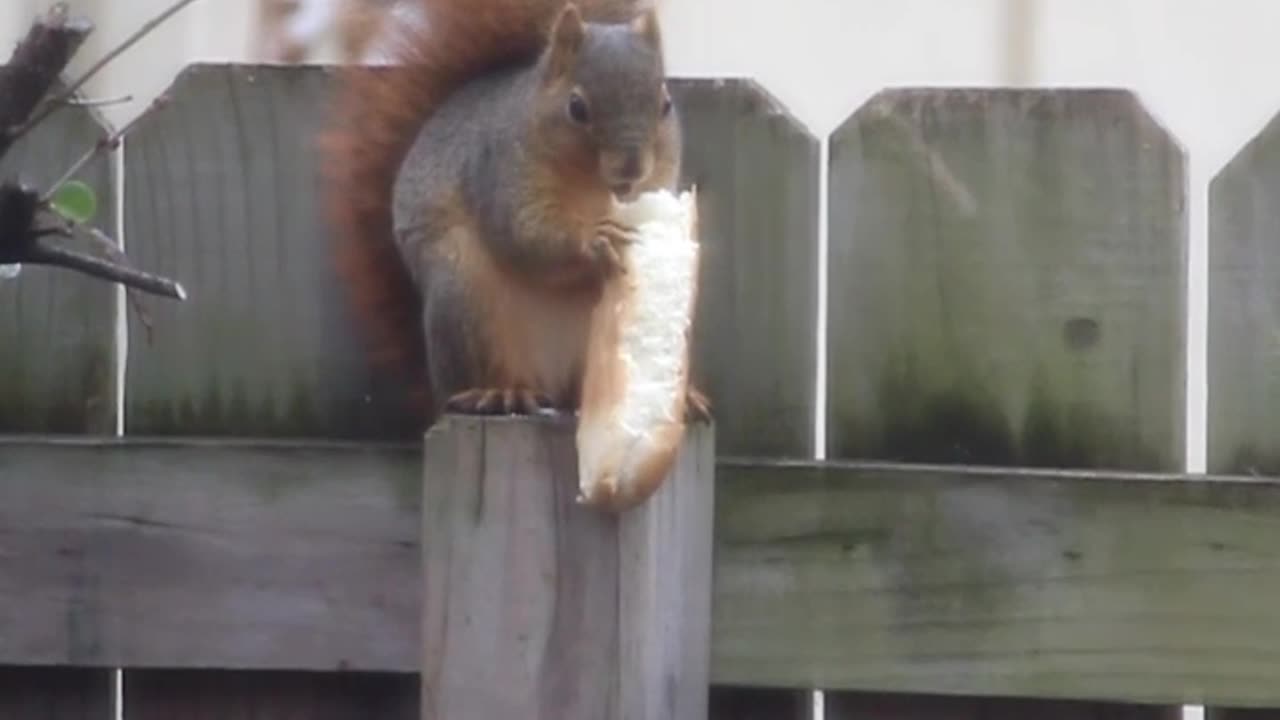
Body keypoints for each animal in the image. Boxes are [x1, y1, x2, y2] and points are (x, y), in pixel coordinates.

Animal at [320, 0, 711, 425]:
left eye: (665, 105)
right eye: (577, 108)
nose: (631, 168)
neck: (593, 190)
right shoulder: (502, 176)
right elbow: (524, 236)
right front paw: (595, 239)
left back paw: (677, 400)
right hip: (466, 297)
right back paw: (499, 392)